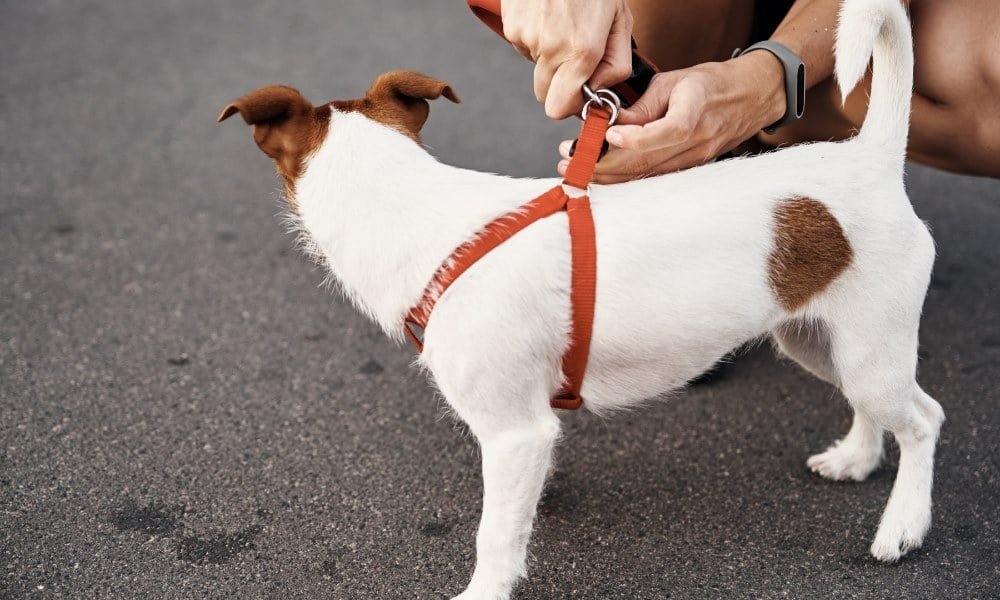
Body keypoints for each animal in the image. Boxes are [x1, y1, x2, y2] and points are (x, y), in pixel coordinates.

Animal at [221, 1, 944, 596]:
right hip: (820, 339)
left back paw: (903, 524)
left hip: (869, 346)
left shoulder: (514, 433)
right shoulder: (528, 431)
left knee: (923, 419)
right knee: (874, 406)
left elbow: (495, 535)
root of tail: (869, 158)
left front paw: (486, 588)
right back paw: (856, 458)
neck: (413, 209)